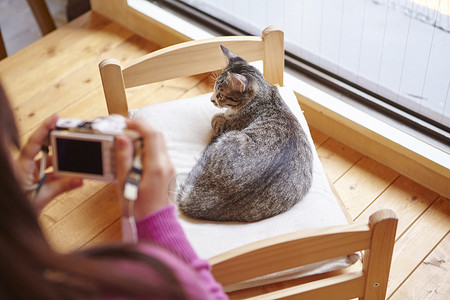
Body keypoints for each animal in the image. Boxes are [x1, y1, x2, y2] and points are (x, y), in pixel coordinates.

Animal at [176, 45, 312, 223]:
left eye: (220, 95)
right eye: (213, 89)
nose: (211, 99)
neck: (266, 97)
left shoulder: (226, 124)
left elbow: (216, 118)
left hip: (228, 138)